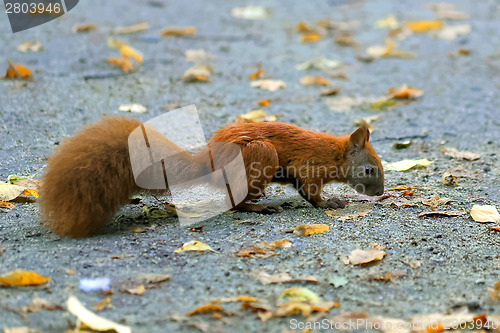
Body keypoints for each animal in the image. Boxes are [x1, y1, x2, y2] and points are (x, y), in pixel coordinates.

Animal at [39, 116, 384, 236]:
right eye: (369, 169)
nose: (380, 193)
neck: (334, 154)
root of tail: (207, 162)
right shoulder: (309, 167)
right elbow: (311, 192)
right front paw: (331, 202)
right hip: (261, 156)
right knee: (235, 201)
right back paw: (259, 206)